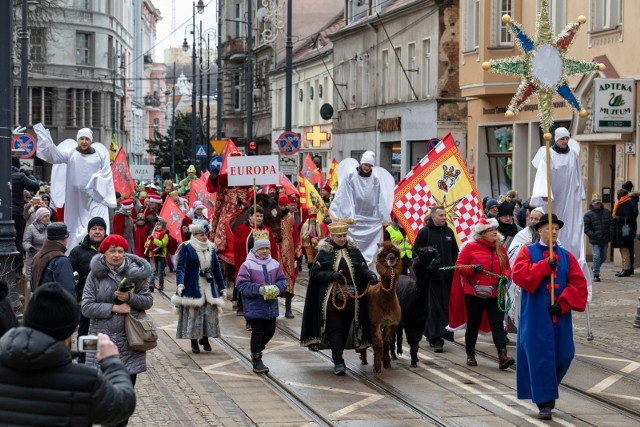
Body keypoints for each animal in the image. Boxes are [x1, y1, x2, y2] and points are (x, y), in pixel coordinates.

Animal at [360, 242, 400, 372]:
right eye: (384, 253)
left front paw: (386, 363)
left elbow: (386, 343)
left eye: (396, 253)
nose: (391, 258)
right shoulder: (374, 322)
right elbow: (378, 344)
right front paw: (377, 368)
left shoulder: (390, 324)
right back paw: (364, 359)